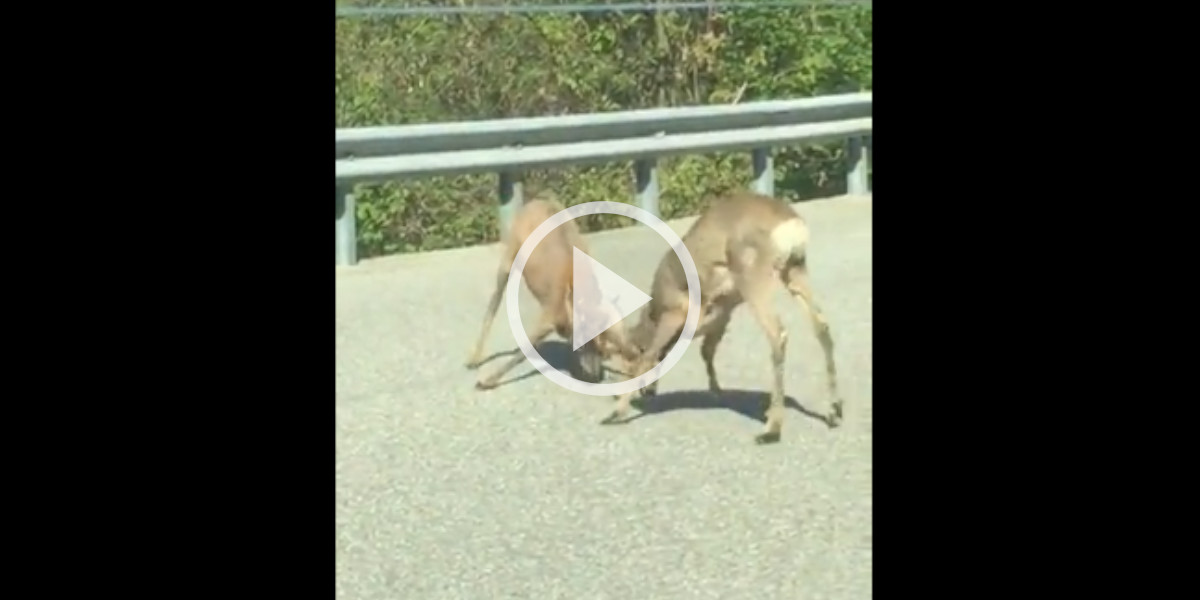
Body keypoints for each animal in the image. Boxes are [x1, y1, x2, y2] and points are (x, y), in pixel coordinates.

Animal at [465, 190, 638, 388]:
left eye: (601, 351)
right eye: (586, 344)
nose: (595, 377)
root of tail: (538, 200)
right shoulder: (548, 319)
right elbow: (520, 354)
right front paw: (488, 380)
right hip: (508, 263)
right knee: (492, 309)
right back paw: (475, 357)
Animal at [600, 189, 844, 444]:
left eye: (625, 362)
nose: (646, 392)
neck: (654, 313)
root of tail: (791, 225)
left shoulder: (676, 312)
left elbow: (651, 354)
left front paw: (617, 412)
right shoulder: (721, 314)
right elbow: (706, 351)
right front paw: (717, 392)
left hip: (753, 274)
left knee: (778, 334)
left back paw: (772, 429)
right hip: (794, 269)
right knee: (821, 325)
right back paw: (834, 410)